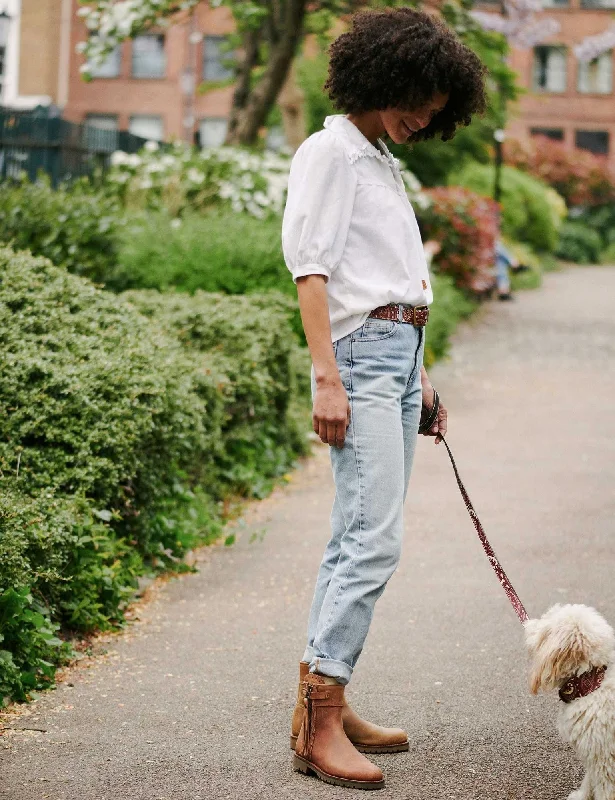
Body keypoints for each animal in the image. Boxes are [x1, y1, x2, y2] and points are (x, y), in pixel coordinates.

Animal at [524, 608, 615, 800]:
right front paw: (582, 796)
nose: (528, 624)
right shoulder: (595, 755)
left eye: (546, 628)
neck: (591, 684)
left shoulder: (606, 762)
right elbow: (589, 780)